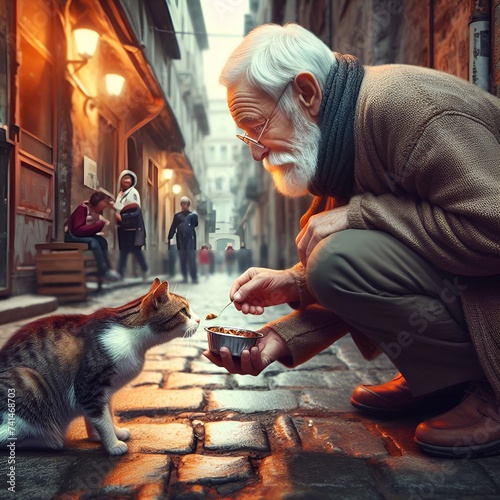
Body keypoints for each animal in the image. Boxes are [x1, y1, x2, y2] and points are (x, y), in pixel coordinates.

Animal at [0, 280, 199, 456]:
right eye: (184, 311)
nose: (198, 319)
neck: (134, 339)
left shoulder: (104, 391)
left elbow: (105, 415)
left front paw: (107, 434)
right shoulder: (89, 386)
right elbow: (101, 419)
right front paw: (113, 445)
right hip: (29, 381)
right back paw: (51, 440)